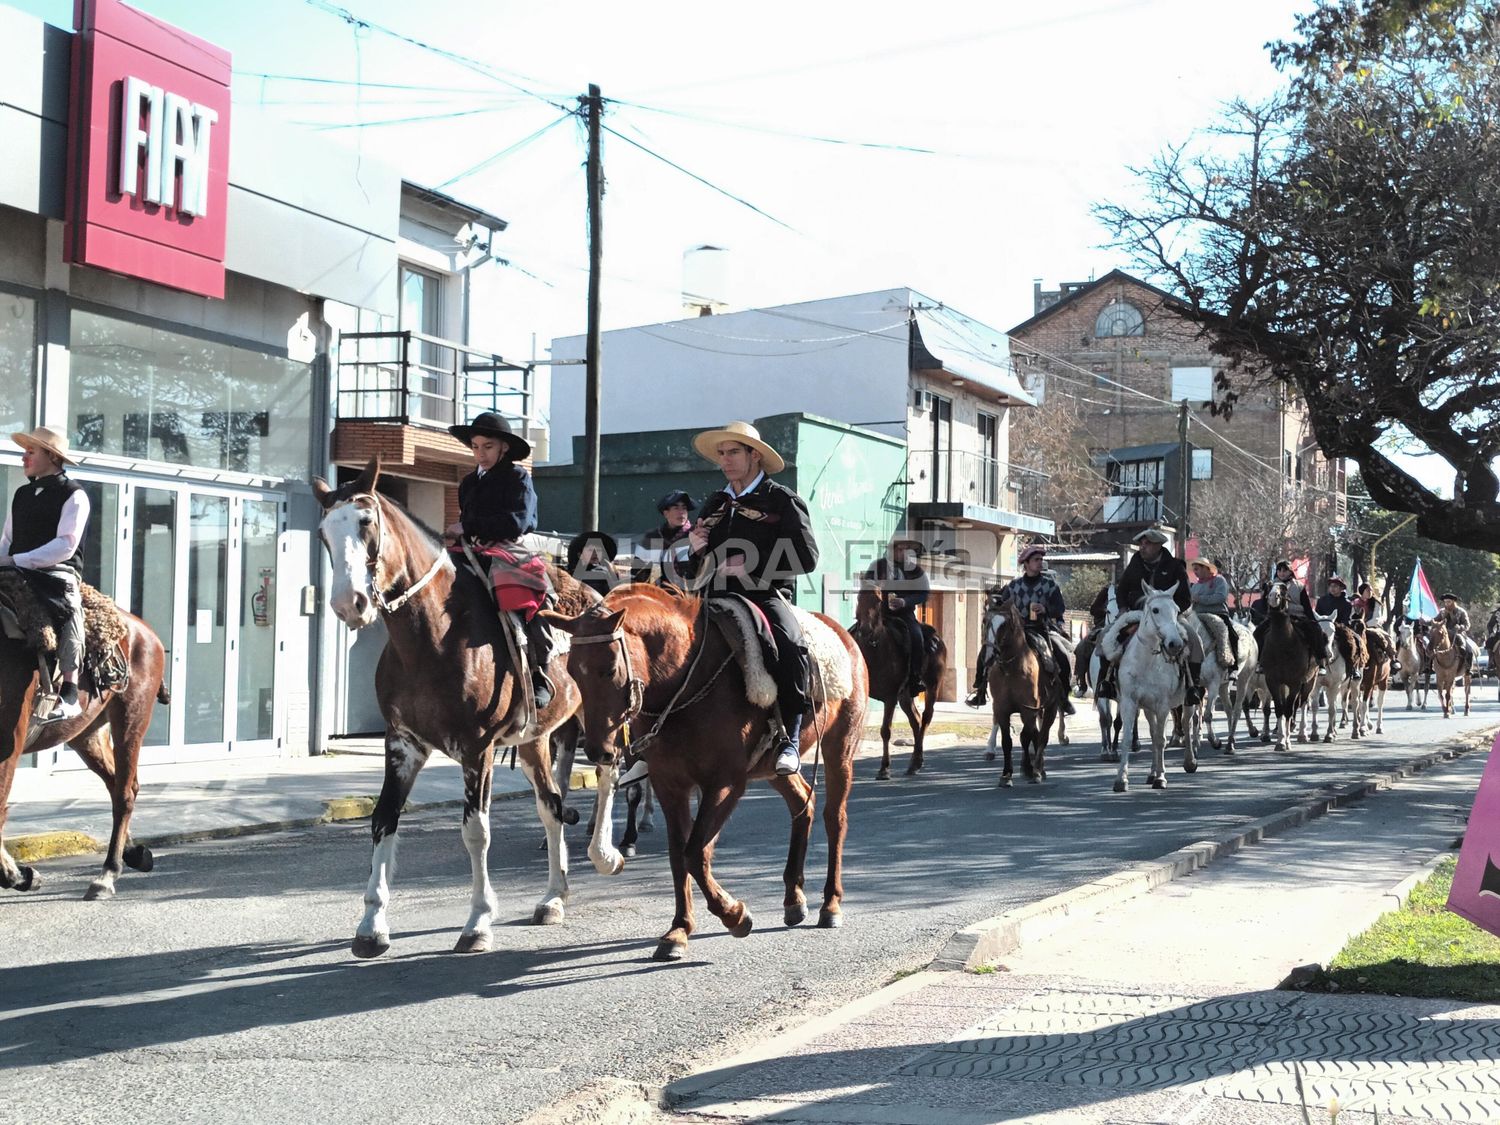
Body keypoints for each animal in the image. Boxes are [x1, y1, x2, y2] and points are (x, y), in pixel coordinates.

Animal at [1, 591, 166, 900]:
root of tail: (145, 632)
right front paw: (21, 874)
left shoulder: (8, 743)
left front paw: (17, 874)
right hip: (87, 734)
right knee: (117, 784)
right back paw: (134, 853)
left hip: (131, 719)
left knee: (124, 793)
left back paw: (107, 874)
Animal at [316, 459, 621, 960]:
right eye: (324, 532)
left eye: (364, 522)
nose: (349, 604)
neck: (432, 635)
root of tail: (600, 600)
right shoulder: (402, 743)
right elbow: (383, 820)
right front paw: (371, 924)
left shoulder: (477, 748)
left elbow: (476, 831)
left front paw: (478, 921)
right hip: (537, 740)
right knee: (553, 808)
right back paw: (553, 897)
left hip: (602, 718)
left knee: (609, 773)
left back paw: (605, 853)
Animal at [549, 585, 870, 966]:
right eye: (573, 670)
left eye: (611, 668)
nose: (598, 751)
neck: (684, 679)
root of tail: (844, 635)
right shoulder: (670, 784)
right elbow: (679, 855)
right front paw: (678, 930)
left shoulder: (725, 784)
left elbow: (695, 853)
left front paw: (735, 915)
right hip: (772, 768)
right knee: (802, 804)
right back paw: (794, 899)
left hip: (840, 752)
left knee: (835, 819)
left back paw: (830, 904)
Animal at [858, 585, 948, 780]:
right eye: (859, 598)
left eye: (878, 600)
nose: (866, 629)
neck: (875, 649)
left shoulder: (890, 697)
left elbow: (885, 730)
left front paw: (884, 768)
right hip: (905, 695)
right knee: (916, 720)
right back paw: (914, 763)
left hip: (932, 687)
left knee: (926, 718)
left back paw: (916, 761)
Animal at [1098, 591, 1200, 792]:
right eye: (1155, 609)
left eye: (1176, 610)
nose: (1175, 644)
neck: (1147, 661)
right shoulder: (1129, 702)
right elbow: (1129, 738)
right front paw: (1121, 780)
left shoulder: (1163, 705)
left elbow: (1161, 739)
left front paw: (1161, 778)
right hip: (1147, 708)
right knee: (1153, 733)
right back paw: (1151, 772)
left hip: (1186, 701)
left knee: (1186, 723)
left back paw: (1189, 762)